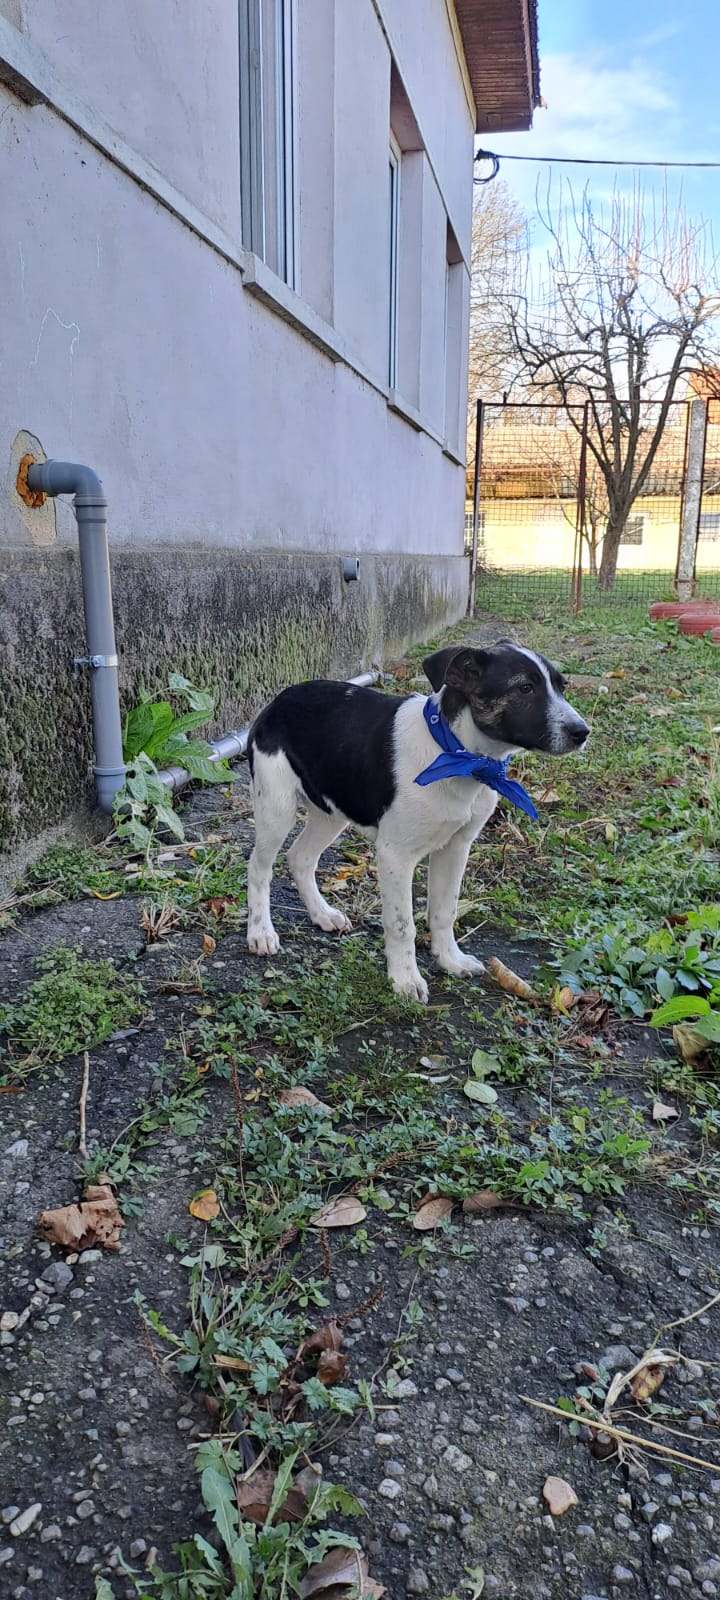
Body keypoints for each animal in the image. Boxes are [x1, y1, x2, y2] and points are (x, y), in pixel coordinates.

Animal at [245, 641, 589, 1003]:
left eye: (562, 686)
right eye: (525, 688)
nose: (582, 732)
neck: (457, 755)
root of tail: (278, 699)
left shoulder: (456, 847)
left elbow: (444, 910)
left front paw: (450, 960)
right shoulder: (395, 855)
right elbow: (401, 924)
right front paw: (405, 980)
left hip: (333, 807)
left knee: (300, 857)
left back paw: (322, 914)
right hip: (276, 808)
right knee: (259, 867)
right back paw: (261, 931)